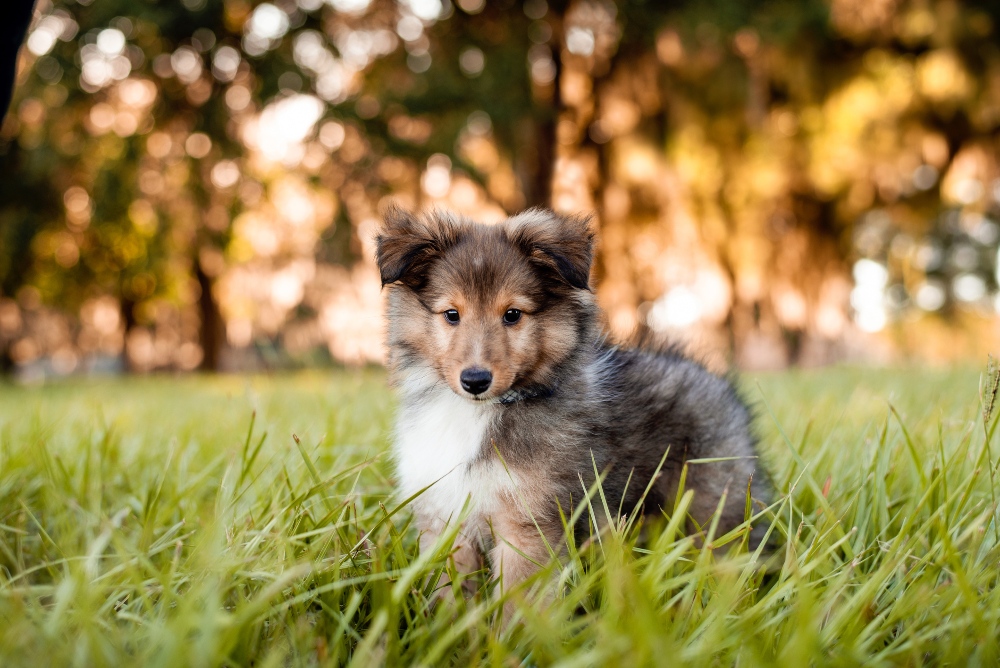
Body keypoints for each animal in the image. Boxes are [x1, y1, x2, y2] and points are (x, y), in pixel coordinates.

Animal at [376, 206, 772, 604]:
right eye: (451, 314)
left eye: (513, 314)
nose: (475, 380)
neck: (477, 412)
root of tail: (717, 382)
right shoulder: (442, 515)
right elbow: (448, 594)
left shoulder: (528, 524)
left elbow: (517, 602)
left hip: (713, 503)